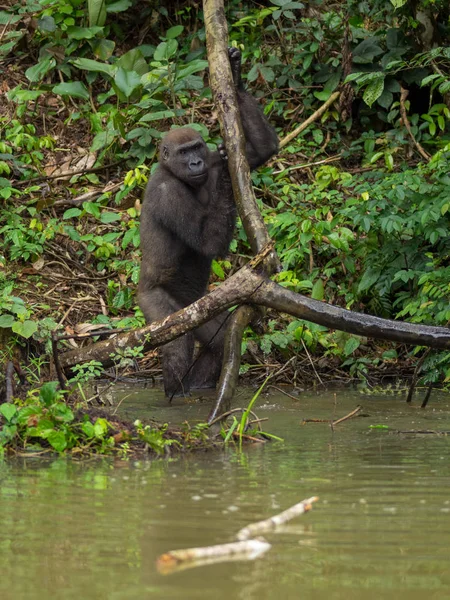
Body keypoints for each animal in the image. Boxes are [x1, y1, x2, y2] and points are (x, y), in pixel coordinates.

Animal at [138, 48, 278, 398]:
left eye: (197, 147)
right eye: (184, 152)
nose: (196, 162)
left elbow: (262, 151)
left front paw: (236, 75)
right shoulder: (168, 191)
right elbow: (206, 241)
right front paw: (229, 178)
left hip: (196, 306)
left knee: (220, 336)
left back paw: (196, 386)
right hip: (155, 304)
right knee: (177, 342)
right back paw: (175, 393)